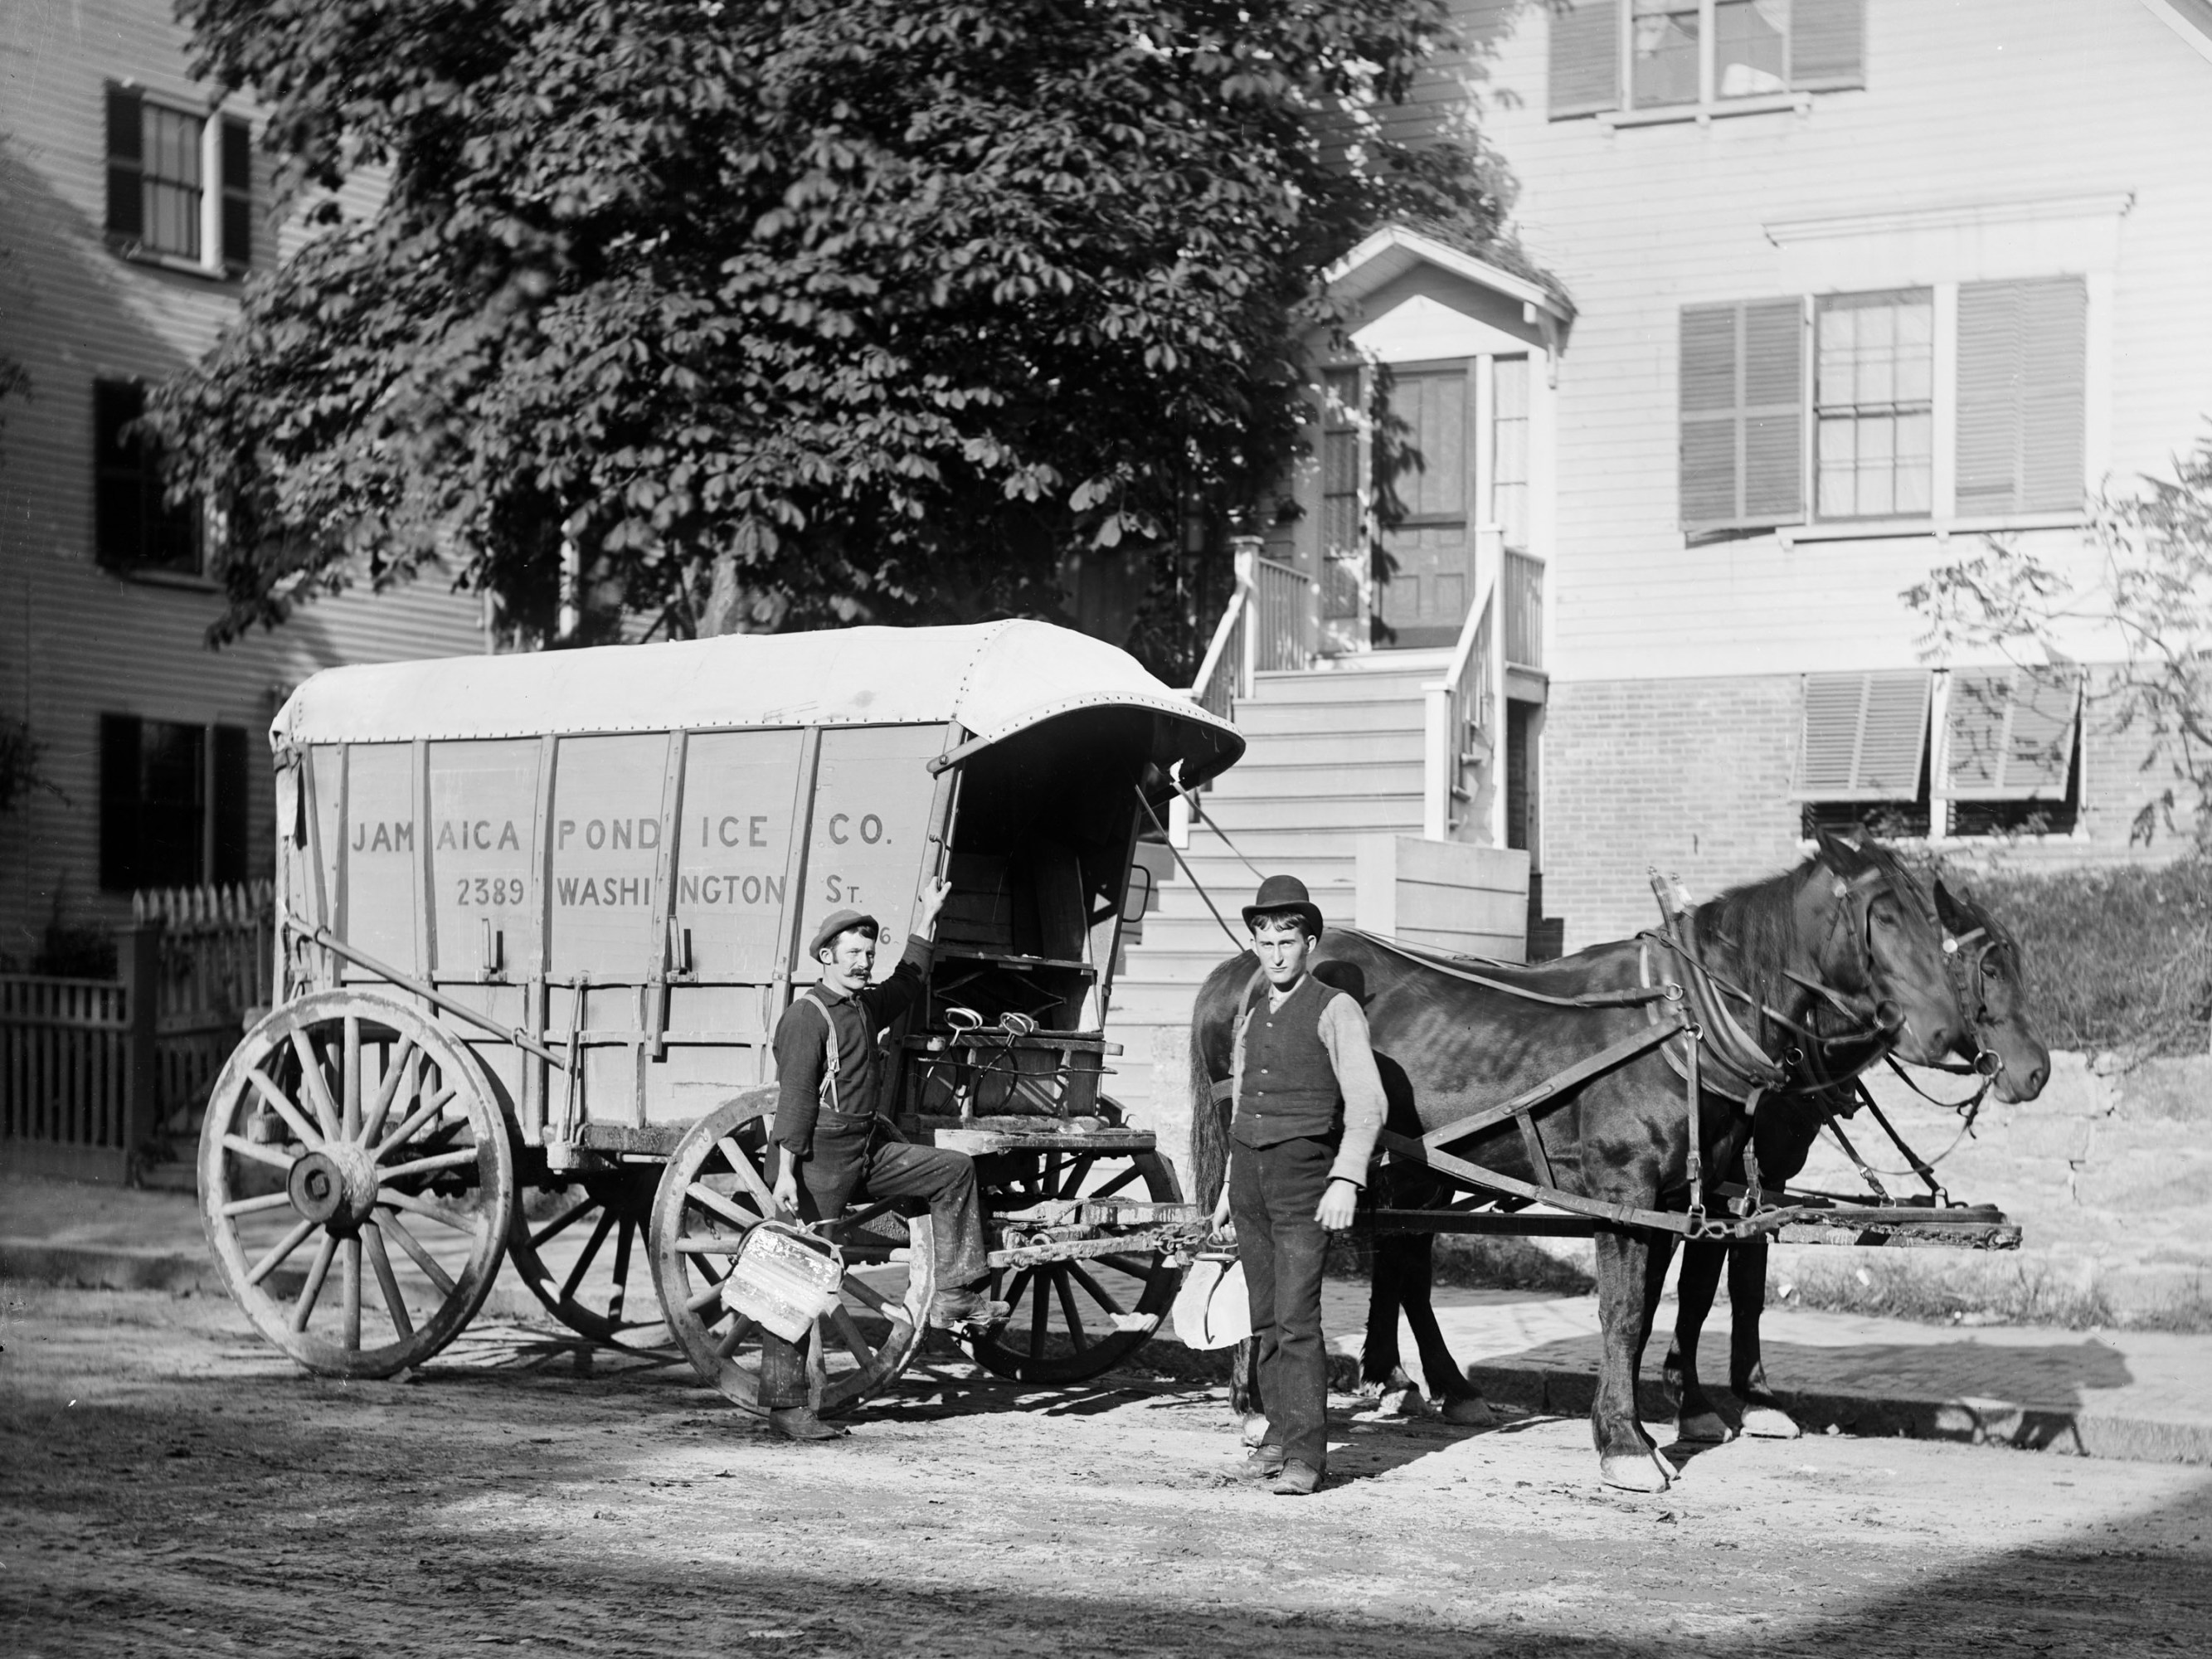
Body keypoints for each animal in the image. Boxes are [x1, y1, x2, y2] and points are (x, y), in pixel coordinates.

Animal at [1194, 831, 1972, 1495]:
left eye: (1933, 921)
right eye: (1883, 916)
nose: (1952, 1034)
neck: (1686, 1023)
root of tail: (1237, 968)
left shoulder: (1672, 1201)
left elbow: (1655, 1312)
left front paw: (1645, 1428)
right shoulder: (1625, 1190)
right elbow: (1625, 1313)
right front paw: (1627, 1445)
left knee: (1394, 1259)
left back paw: (1432, 1387)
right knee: (1243, 1257)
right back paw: (1256, 1406)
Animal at [1663, 884, 2052, 1442]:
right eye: (1992, 969)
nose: (2038, 1071)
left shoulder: (1762, 1186)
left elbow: (1748, 1287)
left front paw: (1757, 1397)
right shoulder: (1718, 1188)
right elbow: (1695, 1290)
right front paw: (1693, 1402)